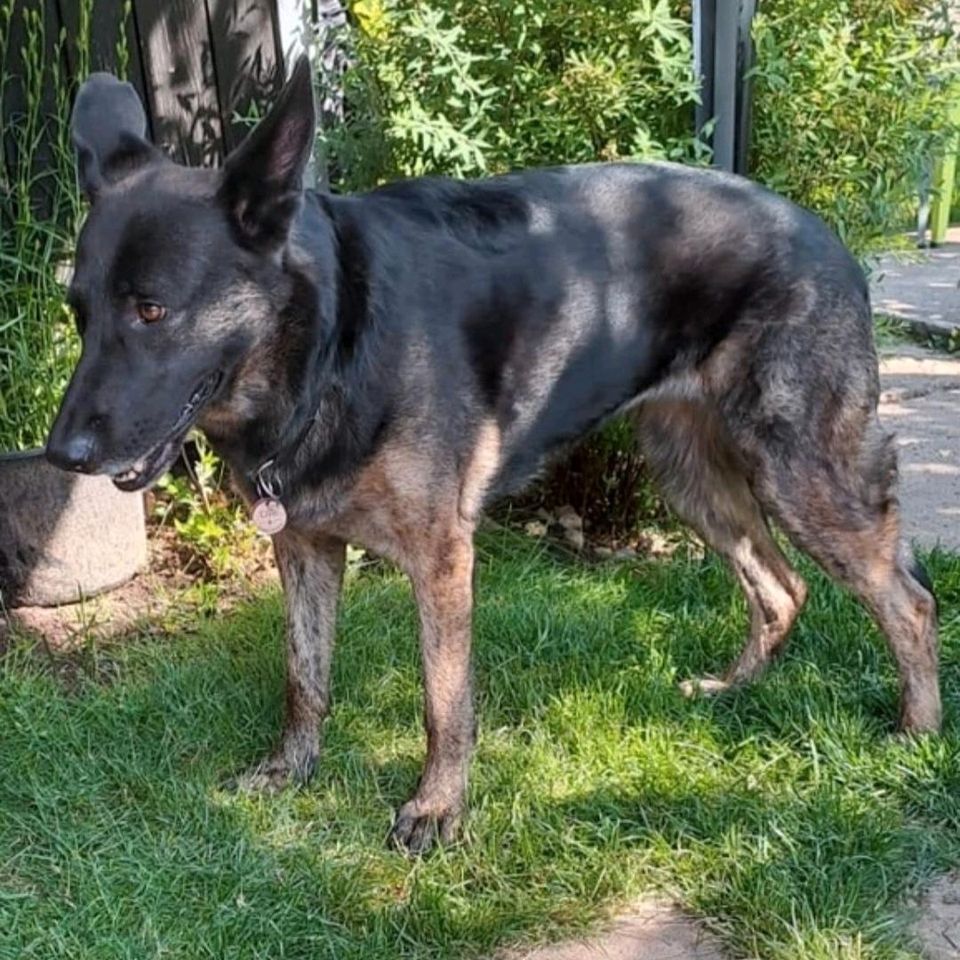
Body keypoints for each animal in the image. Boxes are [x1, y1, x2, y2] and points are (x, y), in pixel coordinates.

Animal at [48, 60, 940, 852]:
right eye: (80, 311)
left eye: (153, 310)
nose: (62, 455)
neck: (328, 343)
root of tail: (823, 234)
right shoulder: (304, 545)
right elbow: (305, 677)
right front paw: (290, 771)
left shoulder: (442, 557)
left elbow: (444, 701)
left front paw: (438, 810)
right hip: (692, 479)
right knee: (783, 588)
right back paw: (731, 690)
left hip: (801, 475)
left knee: (908, 601)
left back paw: (916, 735)